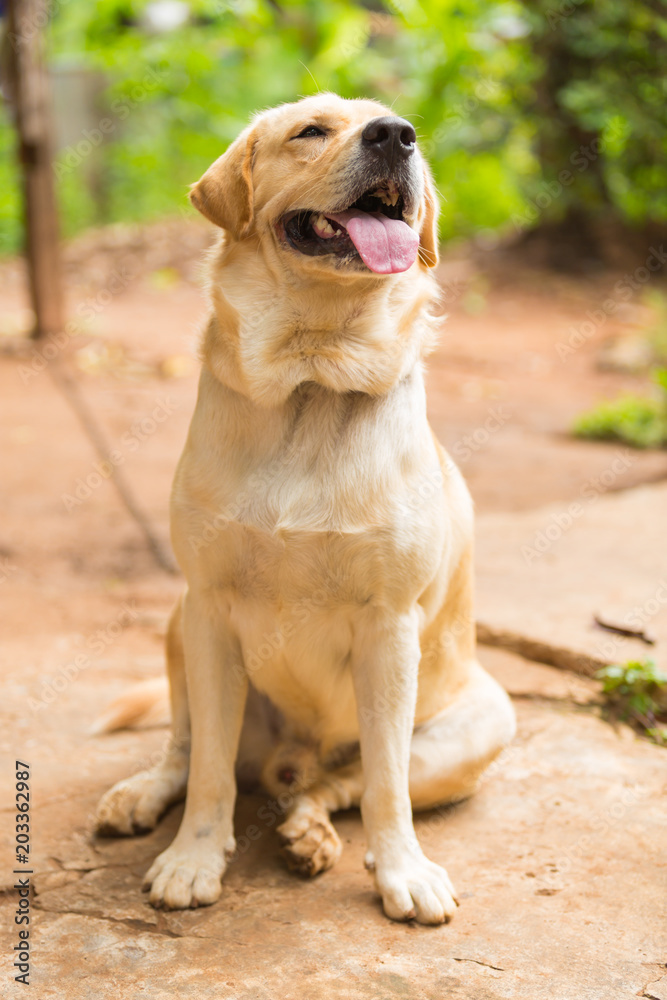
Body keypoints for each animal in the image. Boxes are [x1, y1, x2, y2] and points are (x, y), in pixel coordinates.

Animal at [94, 90, 516, 924]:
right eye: (311, 131)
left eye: (401, 127)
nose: (397, 138)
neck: (312, 378)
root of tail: (288, 763)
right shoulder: (209, 609)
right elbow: (209, 770)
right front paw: (192, 860)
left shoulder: (388, 629)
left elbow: (384, 782)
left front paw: (402, 871)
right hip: (176, 627)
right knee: (187, 749)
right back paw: (145, 795)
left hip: (481, 724)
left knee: (339, 785)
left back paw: (310, 833)